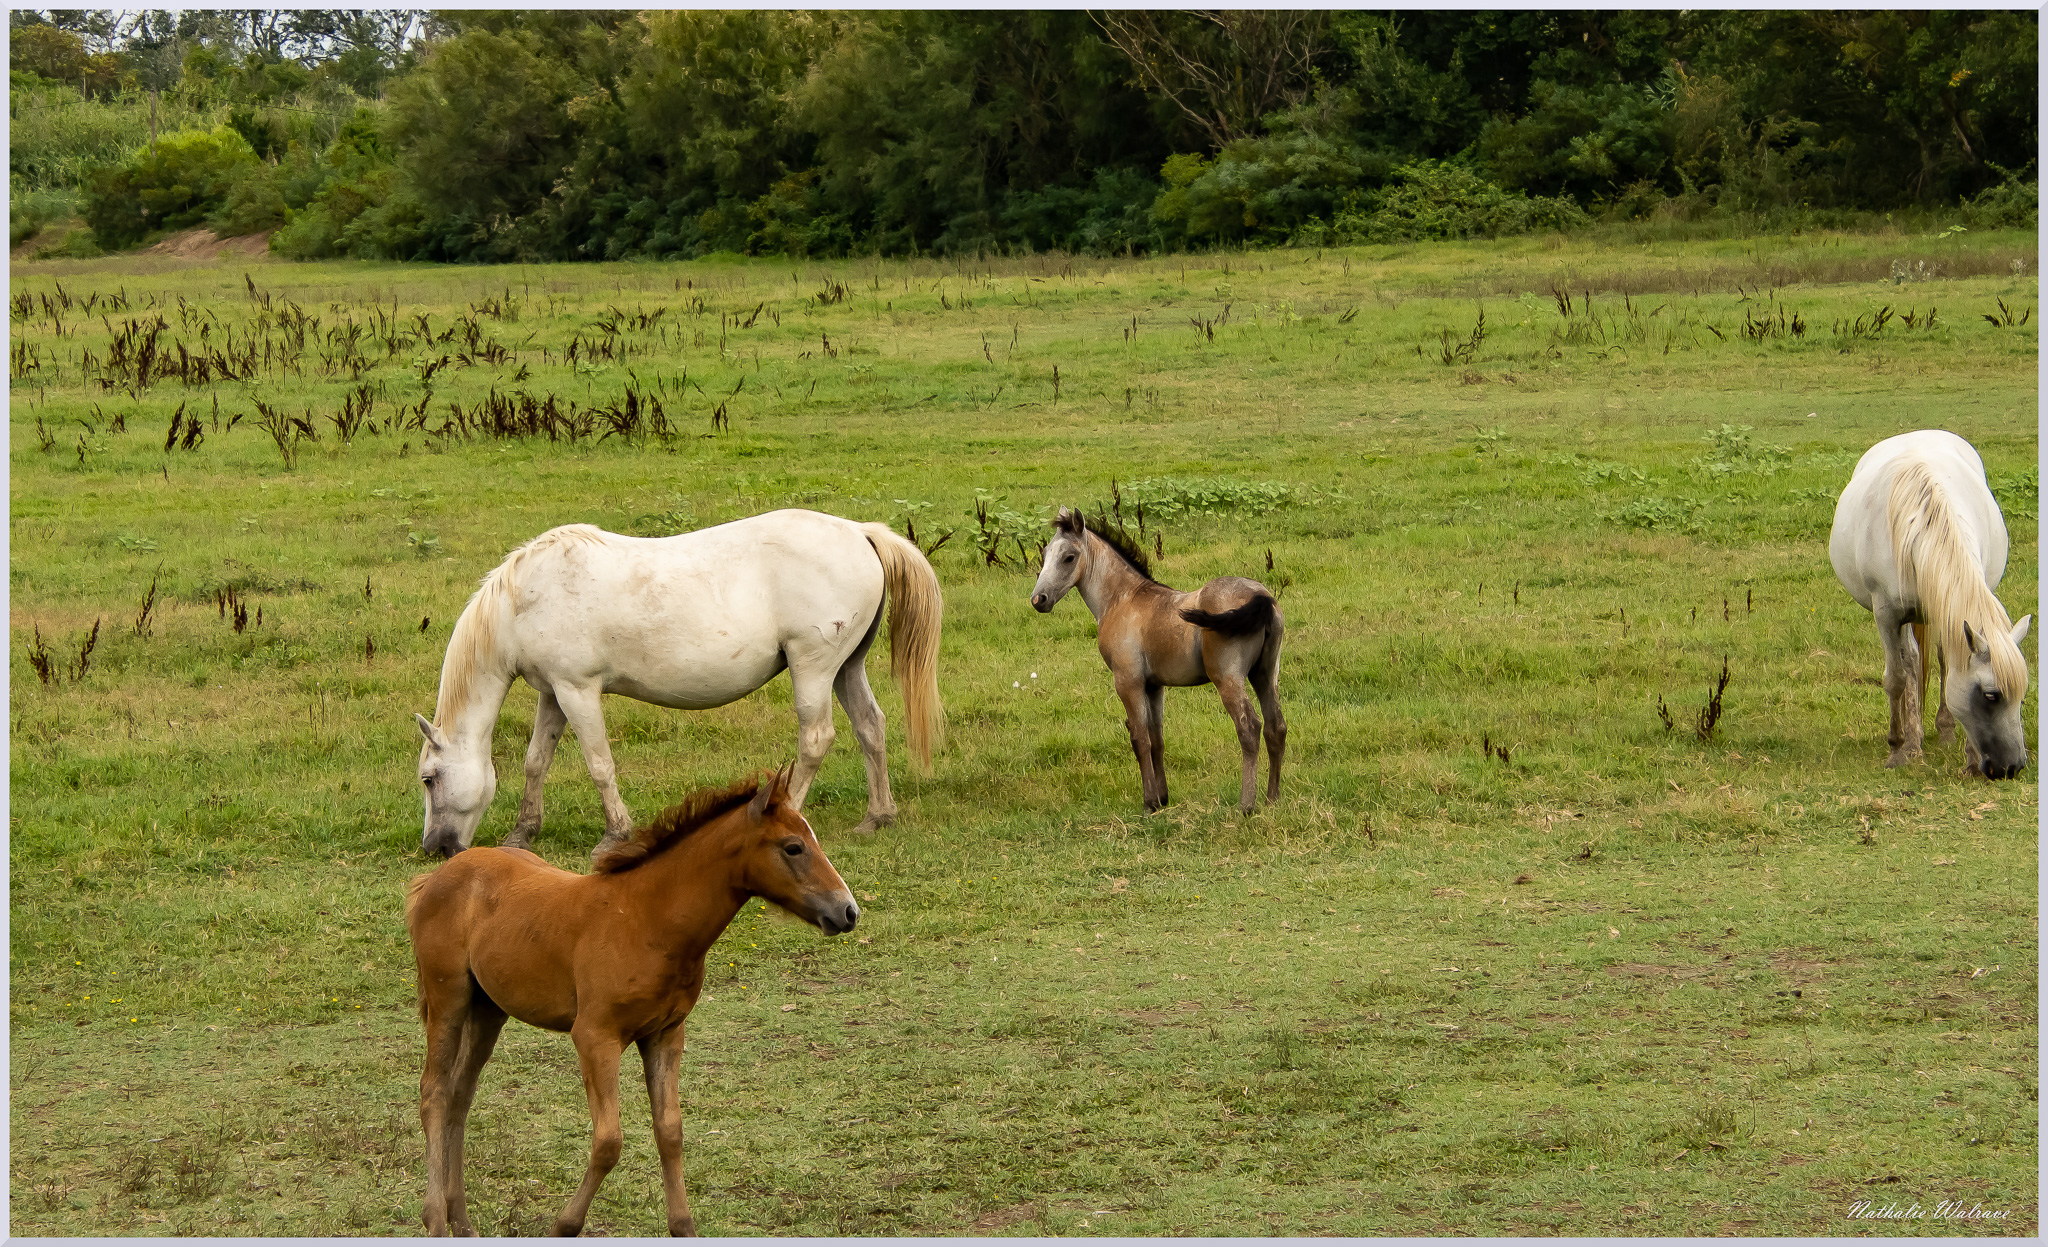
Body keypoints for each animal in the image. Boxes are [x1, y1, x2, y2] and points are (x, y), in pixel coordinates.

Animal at [399, 761, 856, 1228]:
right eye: (794, 847)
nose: (848, 911)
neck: (649, 920)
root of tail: (436, 876)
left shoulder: (665, 1035)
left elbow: (670, 1132)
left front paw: (682, 1227)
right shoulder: (595, 1037)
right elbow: (608, 1141)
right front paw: (565, 1226)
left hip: (489, 1008)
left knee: (460, 1095)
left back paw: (462, 1221)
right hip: (448, 997)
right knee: (434, 1092)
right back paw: (436, 1219)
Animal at [415, 507, 942, 855]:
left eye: (428, 778)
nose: (434, 849)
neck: (524, 598)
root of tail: (859, 532)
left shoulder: (577, 691)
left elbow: (599, 764)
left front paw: (614, 835)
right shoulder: (553, 693)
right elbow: (535, 762)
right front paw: (522, 833)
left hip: (813, 668)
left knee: (816, 738)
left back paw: (788, 812)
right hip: (846, 668)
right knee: (871, 727)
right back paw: (877, 817)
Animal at [1032, 505, 1286, 806]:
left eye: (1069, 557)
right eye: (1045, 554)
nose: (1038, 600)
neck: (1122, 599)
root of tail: (1261, 597)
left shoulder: (1128, 682)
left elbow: (1140, 739)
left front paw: (1149, 803)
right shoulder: (1154, 685)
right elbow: (1157, 739)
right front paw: (1163, 798)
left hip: (1228, 678)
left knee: (1249, 728)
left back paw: (1246, 805)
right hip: (1265, 674)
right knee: (1276, 727)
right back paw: (1272, 799)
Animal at [1835, 430, 2023, 778]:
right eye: (1991, 696)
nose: (2012, 767)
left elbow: (1950, 666)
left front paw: (1970, 758)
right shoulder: (1887, 615)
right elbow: (1896, 678)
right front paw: (1898, 748)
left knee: (1937, 660)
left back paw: (1942, 731)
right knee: (1910, 660)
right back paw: (1913, 740)